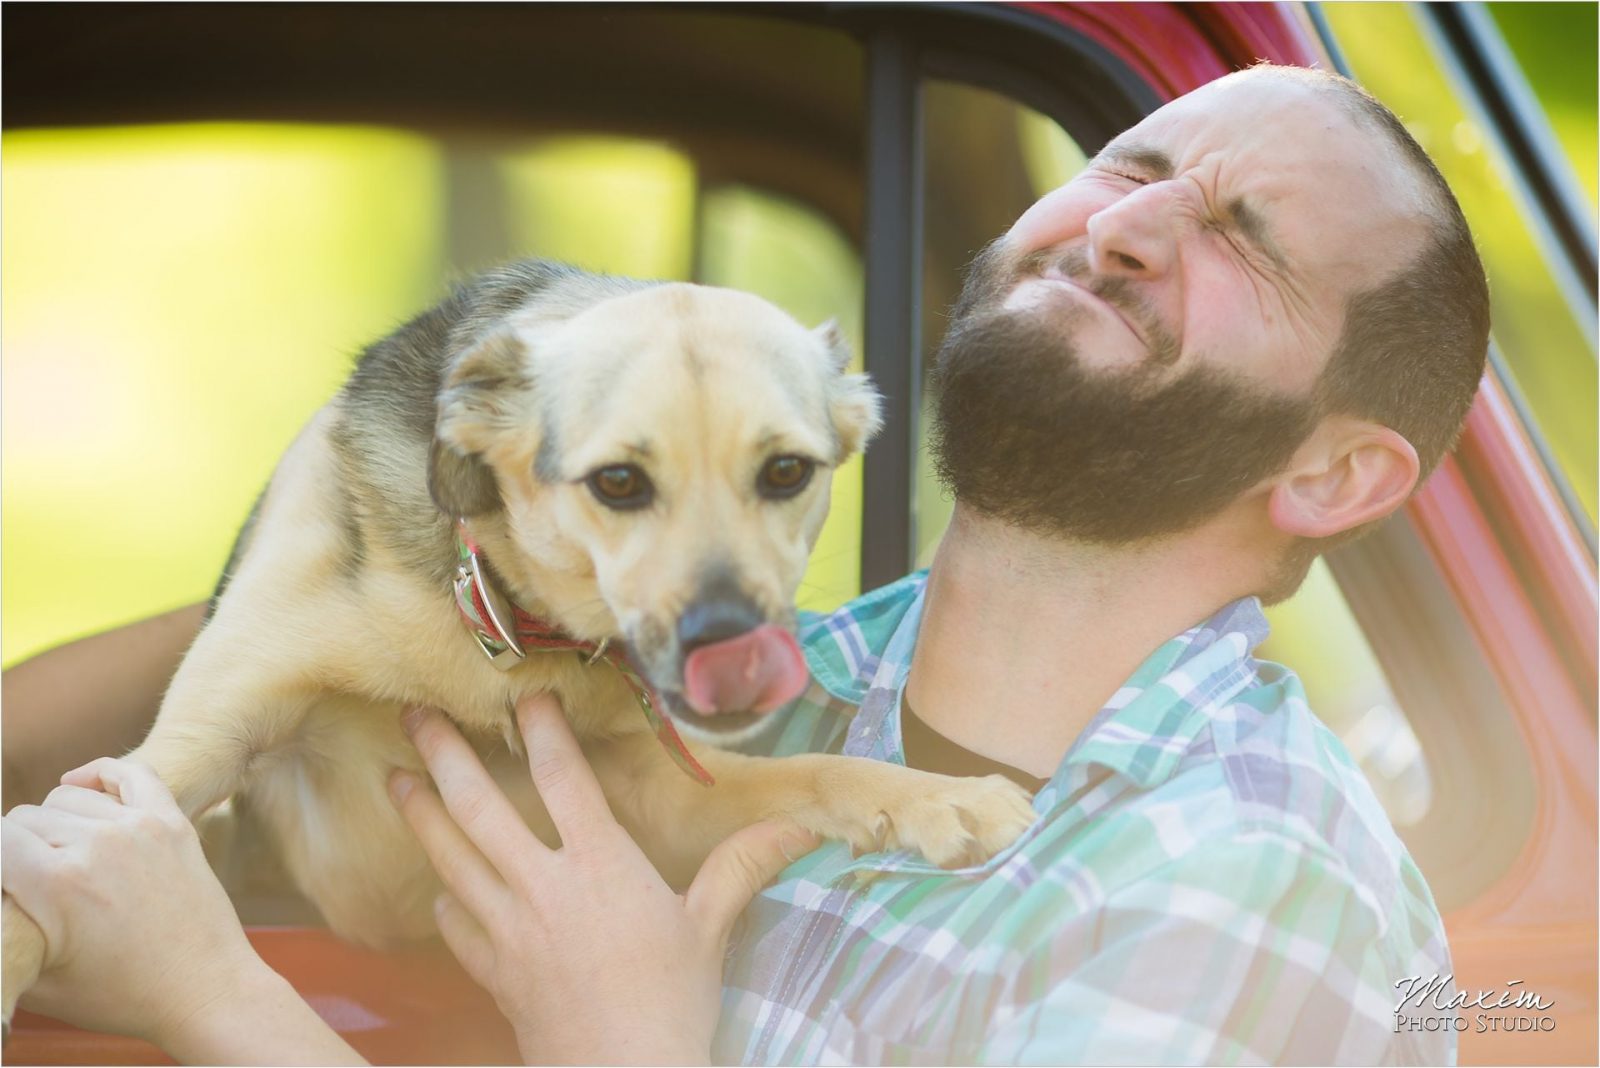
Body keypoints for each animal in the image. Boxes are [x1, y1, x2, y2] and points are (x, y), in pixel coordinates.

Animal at [0, 260, 1036, 1023]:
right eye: (617, 482)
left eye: (786, 472)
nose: (732, 644)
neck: (501, 627)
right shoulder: (196, 744)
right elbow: (29, 886)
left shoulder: (657, 794)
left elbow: (823, 772)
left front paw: (947, 796)